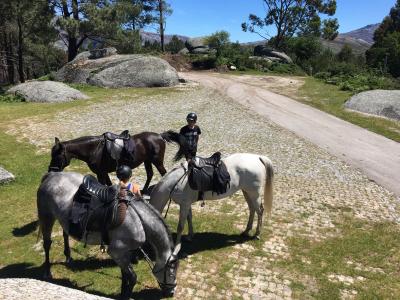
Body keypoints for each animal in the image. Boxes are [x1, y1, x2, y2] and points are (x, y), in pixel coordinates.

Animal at [37, 172, 181, 298]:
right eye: (171, 272)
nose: (171, 293)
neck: (138, 219)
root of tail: (52, 175)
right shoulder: (116, 252)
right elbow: (132, 278)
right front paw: (125, 296)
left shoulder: (124, 252)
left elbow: (125, 276)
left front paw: (122, 293)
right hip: (47, 216)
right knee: (47, 244)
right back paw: (47, 272)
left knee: (65, 234)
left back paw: (68, 256)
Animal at [47, 130, 188, 191]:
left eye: (57, 156)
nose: (51, 170)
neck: (94, 149)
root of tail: (159, 136)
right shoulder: (103, 173)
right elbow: (108, 185)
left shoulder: (101, 173)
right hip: (147, 161)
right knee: (150, 174)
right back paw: (144, 190)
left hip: (157, 161)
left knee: (163, 173)